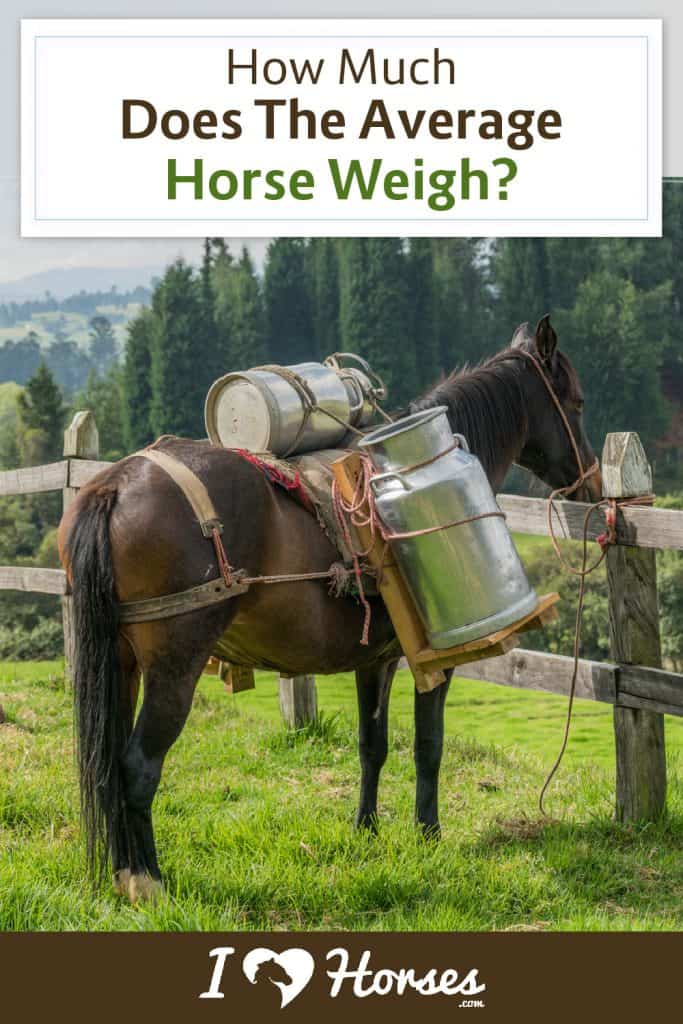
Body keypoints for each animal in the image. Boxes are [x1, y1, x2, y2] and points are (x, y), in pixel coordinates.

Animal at [58, 315, 602, 903]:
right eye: (576, 401)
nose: (591, 481)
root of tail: (115, 485)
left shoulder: (374, 659)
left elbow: (372, 745)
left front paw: (366, 829)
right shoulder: (438, 658)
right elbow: (428, 745)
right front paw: (428, 834)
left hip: (120, 662)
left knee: (109, 763)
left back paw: (122, 871)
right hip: (173, 669)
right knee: (138, 766)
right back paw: (147, 879)